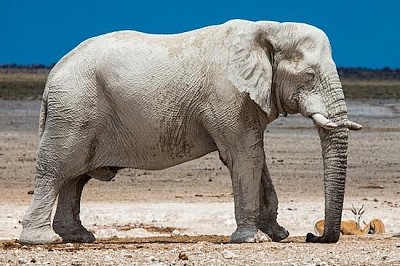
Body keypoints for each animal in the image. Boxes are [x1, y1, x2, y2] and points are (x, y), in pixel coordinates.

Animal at [18, 19, 362, 245]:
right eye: (309, 75)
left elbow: (257, 159)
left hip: (75, 111)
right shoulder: (228, 97)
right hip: (74, 109)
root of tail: (53, 74)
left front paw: (277, 235)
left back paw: (78, 237)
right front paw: (250, 239)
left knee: (75, 178)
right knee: (57, 170)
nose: (312, 235)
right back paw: (41, 240)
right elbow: (244, 157)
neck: (270, 29)